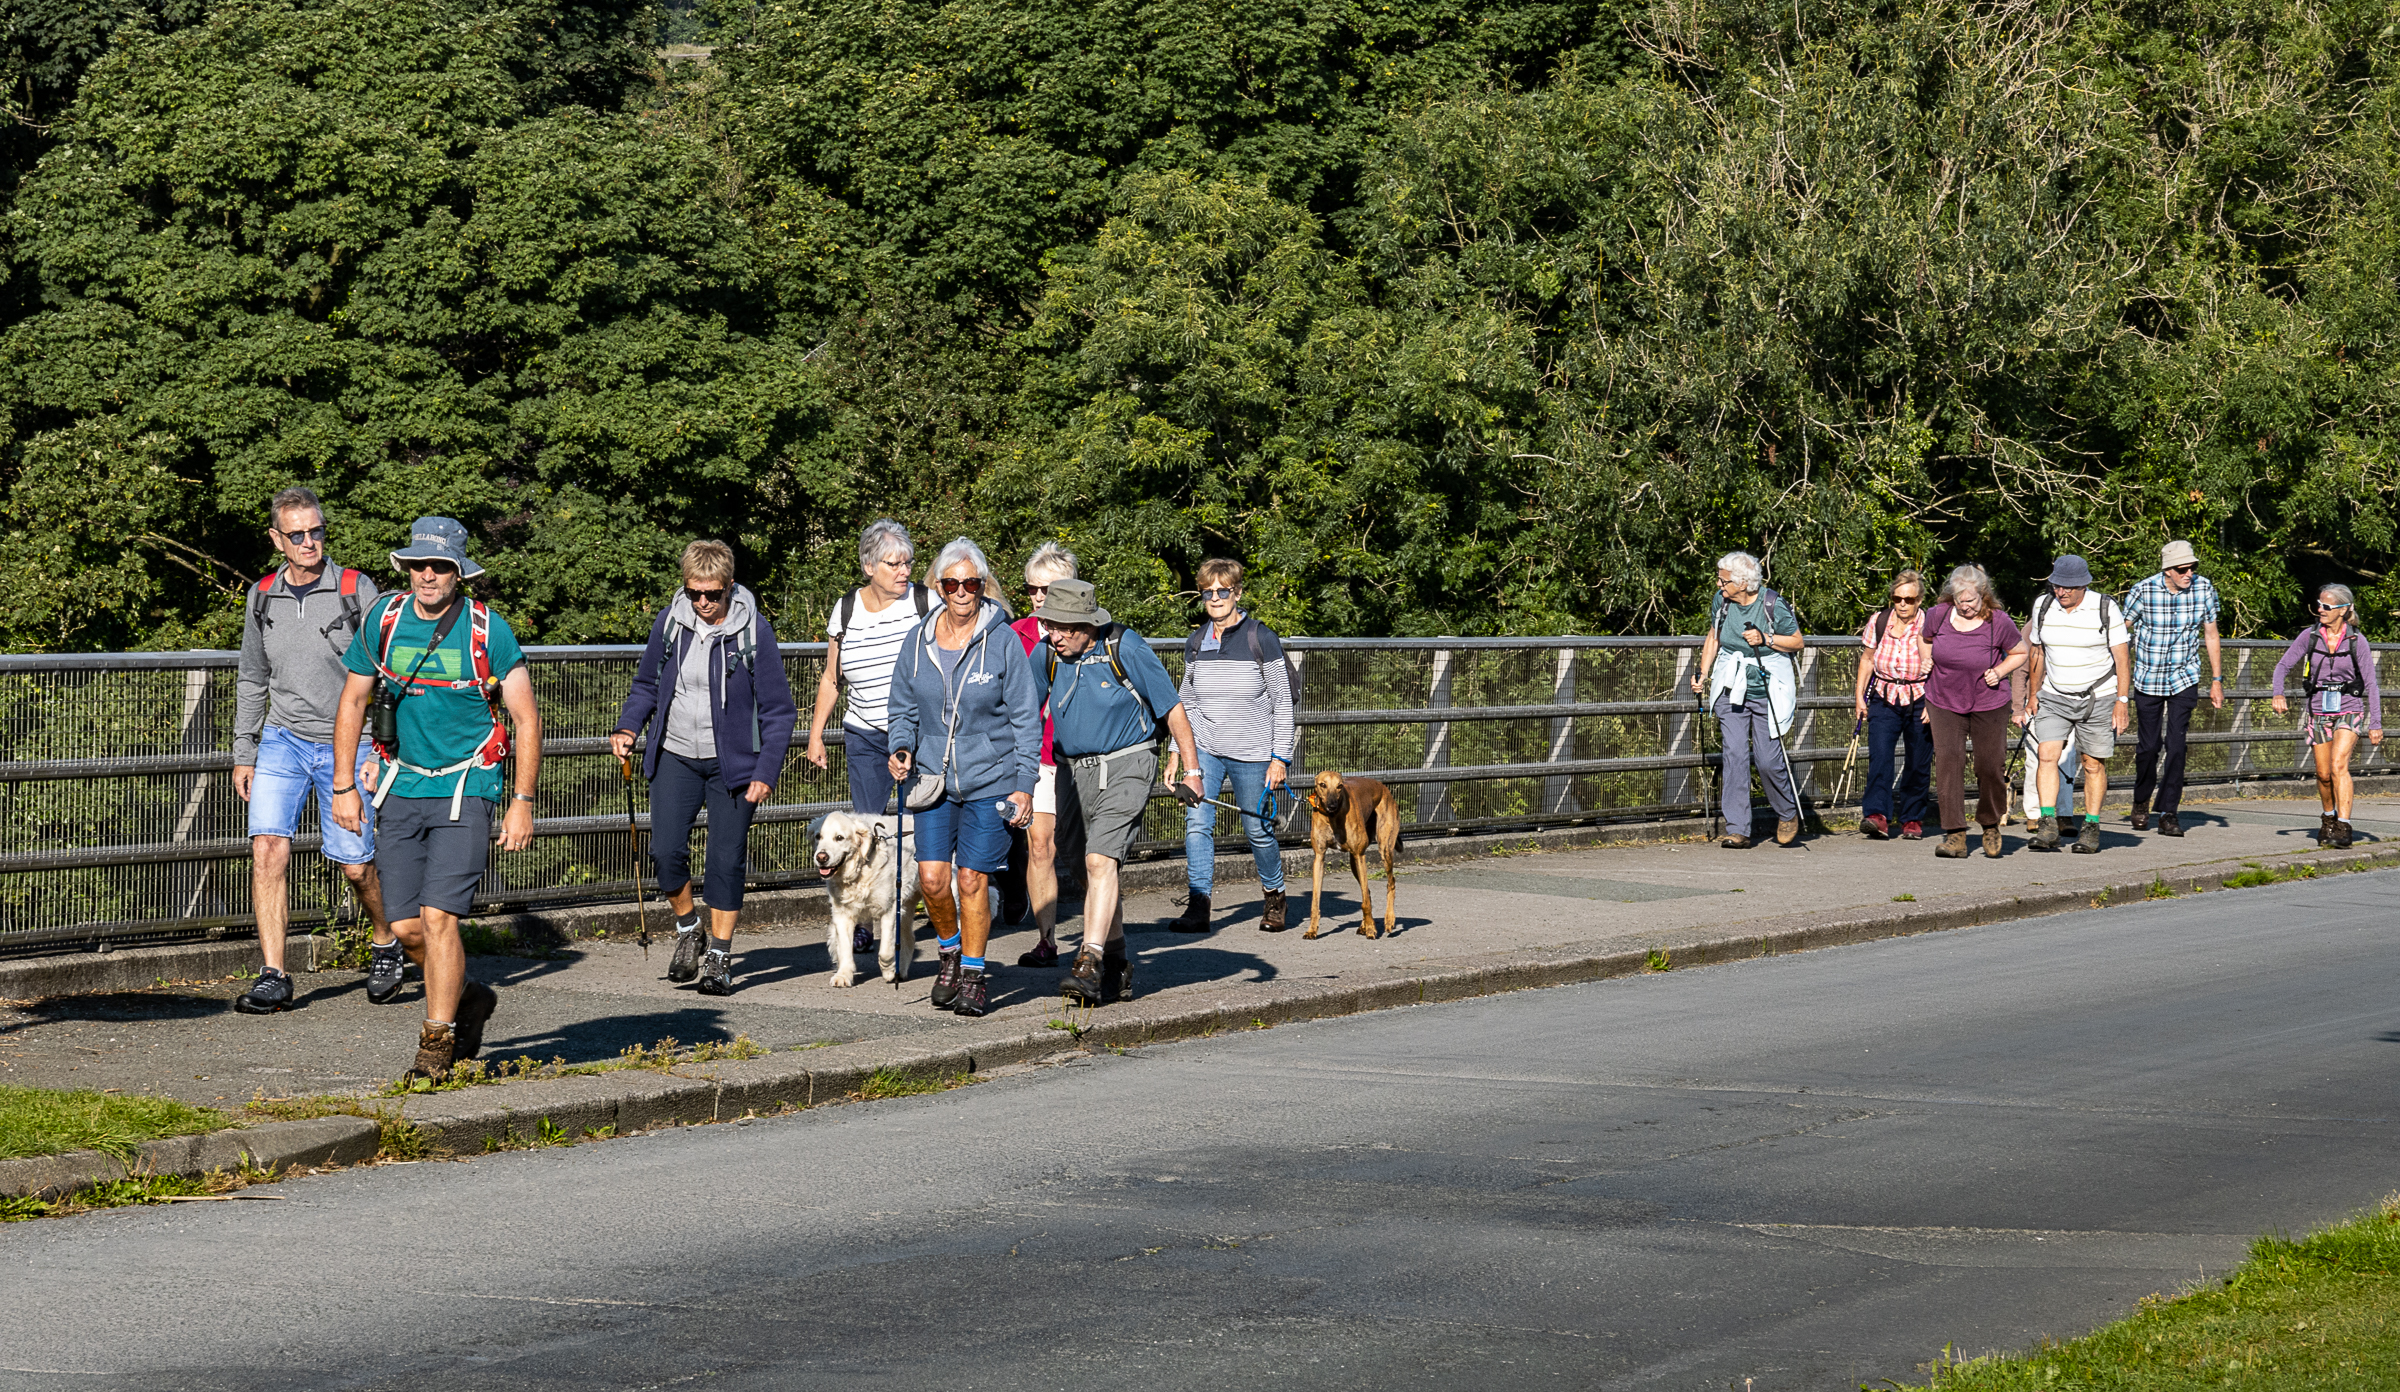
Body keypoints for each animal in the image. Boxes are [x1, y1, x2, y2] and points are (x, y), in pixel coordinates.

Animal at [811, 806, 912, 988]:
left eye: (839, 837)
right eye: (818, 836)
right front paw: (843, 975)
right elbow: (844, 948)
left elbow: (886, 951)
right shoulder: (842, 914)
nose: (821, 857)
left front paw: (889, 971)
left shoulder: (890, 909)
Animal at [1315, 768, 1401, 940]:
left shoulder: (1360, 855)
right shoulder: (1319, 857)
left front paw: (1371, 929)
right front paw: (1311, 930)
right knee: (1366, 891)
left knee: (1390, 883)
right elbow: (1315, 902)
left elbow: (1365, 902)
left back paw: (1388, 920)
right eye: (1322, 785)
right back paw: (1365, 924)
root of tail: (1384, 788)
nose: (1332, 805)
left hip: (1384, 850)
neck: (1333, 817)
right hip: (1354, 863)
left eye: (1340, 786)